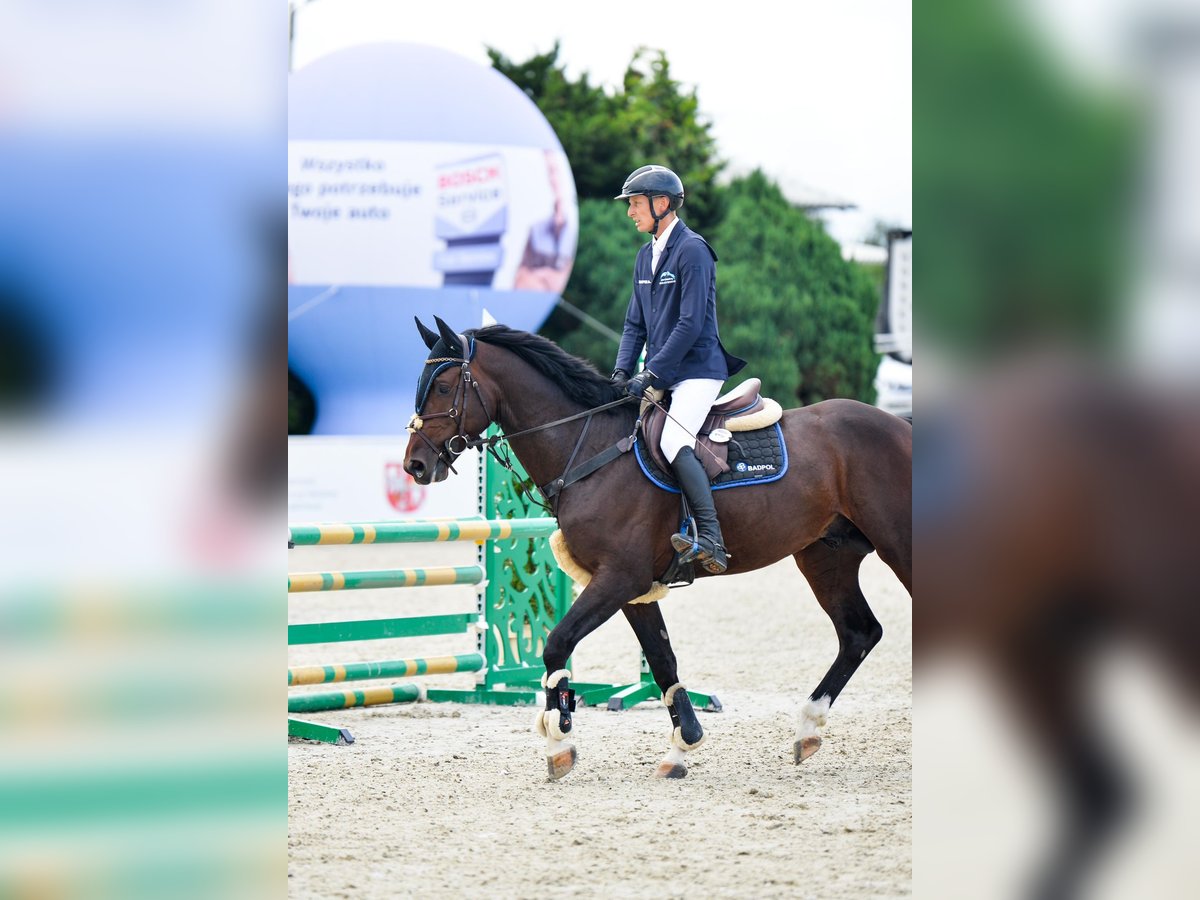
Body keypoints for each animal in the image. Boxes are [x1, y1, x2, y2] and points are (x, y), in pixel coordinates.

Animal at [403, 319, 907, 782]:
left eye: (444, 387)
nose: (415, 465)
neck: (590, 447)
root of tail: (899, 424)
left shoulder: (618, 578)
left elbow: (556, 643)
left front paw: (559, 735)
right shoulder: (633, 588)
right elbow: (662, 660)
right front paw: (682, 746)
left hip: (896, 546)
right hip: (826, 556)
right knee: (859, 632)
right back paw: (808, 728)